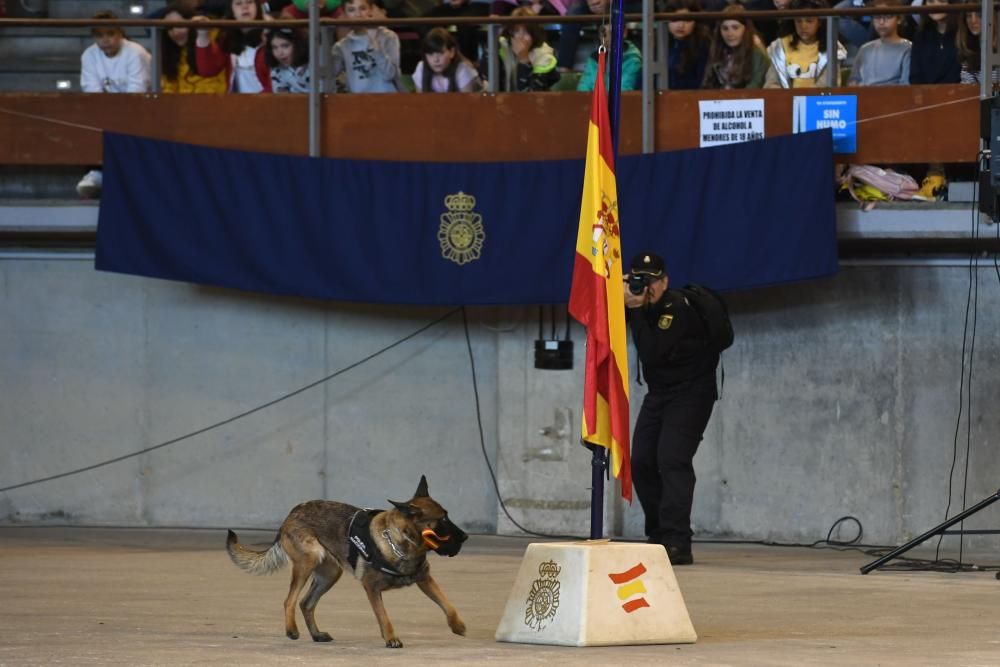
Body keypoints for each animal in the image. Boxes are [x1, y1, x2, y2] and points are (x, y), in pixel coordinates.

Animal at [225, 478, 466, 648]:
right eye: (443, 520)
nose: (465, 537)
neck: (400, 541)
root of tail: (292, 513)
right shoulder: (371, 588)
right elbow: (383, 616)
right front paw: (391, 638)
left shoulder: (425, 579)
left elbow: (448, 604)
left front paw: (458, 625)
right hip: (307, 563)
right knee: (290, 600)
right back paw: (291, 630)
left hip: (330, 574)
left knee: (306, 603)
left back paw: (316, 634)